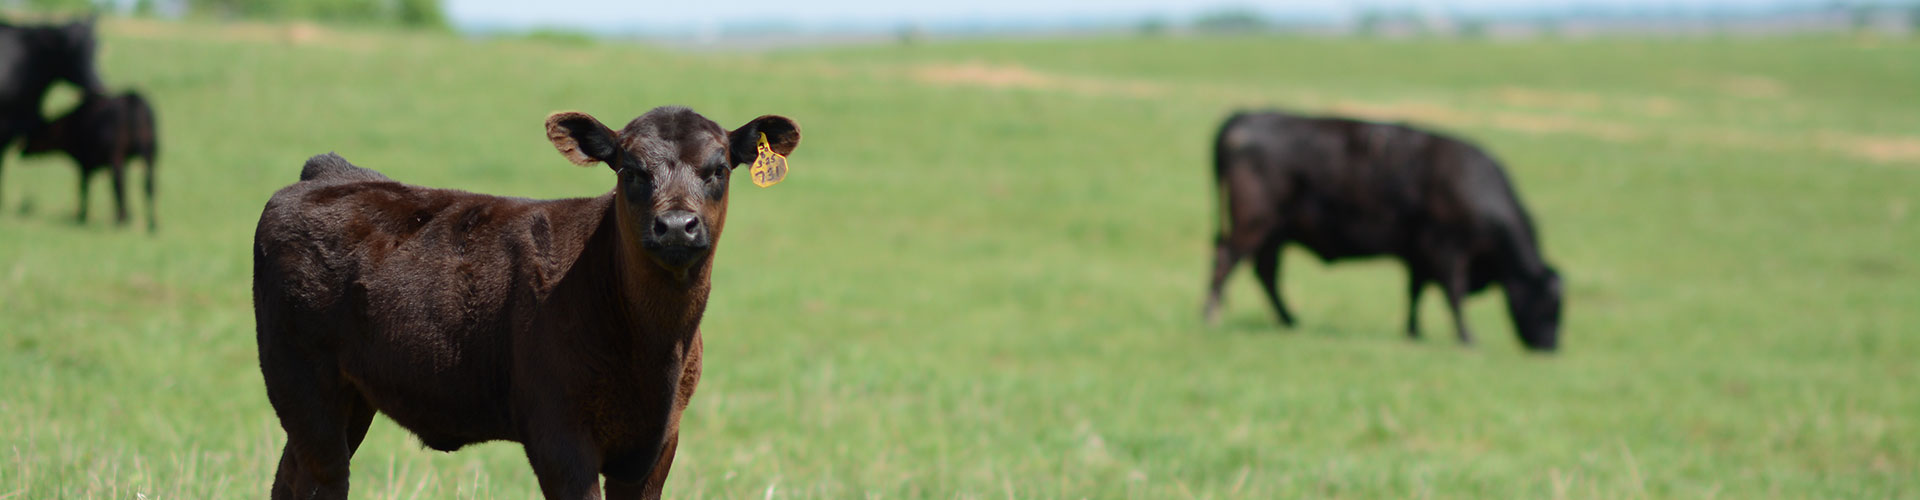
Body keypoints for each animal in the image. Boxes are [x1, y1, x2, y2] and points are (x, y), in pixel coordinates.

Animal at [21, 90, 157, 231]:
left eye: (34, 132)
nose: (22, 149)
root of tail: (133, 98)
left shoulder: (84, 164)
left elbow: (83, 188)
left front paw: (82, 217)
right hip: (149, 151)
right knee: (149, 183)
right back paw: (151, 224)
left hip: (116, 155)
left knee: (119, 183)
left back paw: (121, 219)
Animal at [251, 106, 798, 500]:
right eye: (630, 168)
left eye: (719, 168)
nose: (677, 226)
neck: (653, 346)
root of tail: (328, 172)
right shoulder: (559, 436)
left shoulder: (658, 444)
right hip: (302, 384)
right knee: (322, 480)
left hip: (351, 396)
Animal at [1205, 110, 1566, 351]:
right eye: (1551, 305)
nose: (1550, 347)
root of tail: (1243, 117)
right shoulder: (1447, 249)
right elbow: (1453, 294)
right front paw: (1467, 337)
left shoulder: (1418, 254)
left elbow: (1415, 293)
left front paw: (1414, 332)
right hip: (1254, 222)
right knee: (1226, 260)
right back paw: (1212, 316)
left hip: (1274, 232)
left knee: (1265, 273)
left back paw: (1289, 321)